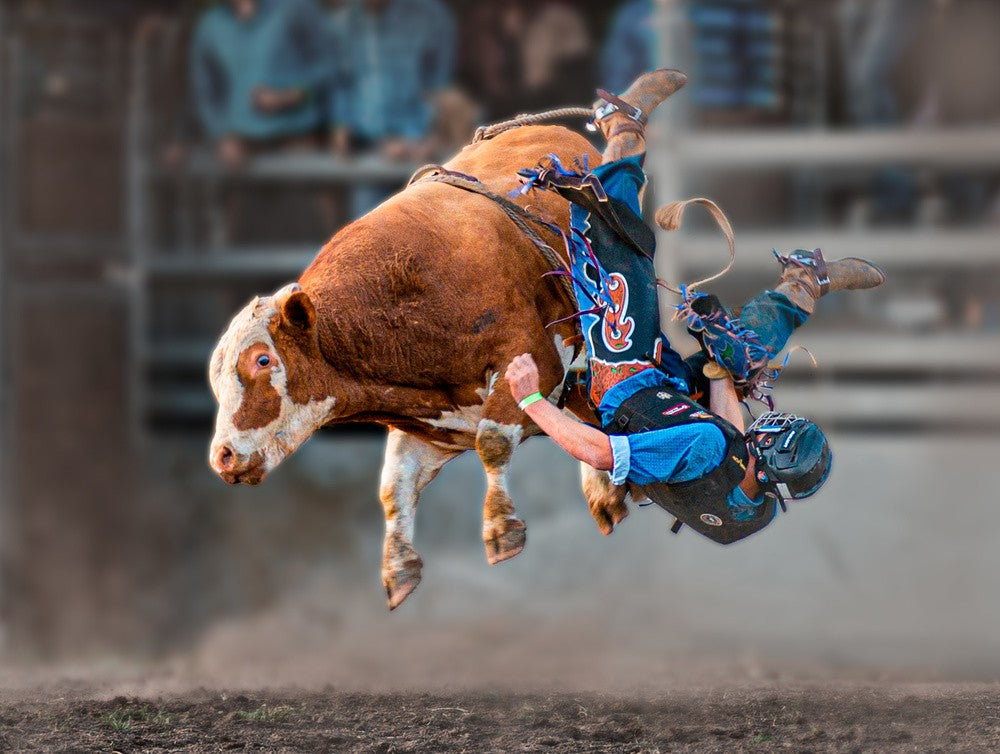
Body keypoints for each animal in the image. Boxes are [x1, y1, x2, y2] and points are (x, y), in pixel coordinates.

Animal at [208, 125, 630, 609]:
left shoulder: (534, 357)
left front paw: (501, 528)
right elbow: (394, 486)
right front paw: (399, 566)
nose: (221, 456)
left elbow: (493, 439)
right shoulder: (435, 422)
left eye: (262, 359)